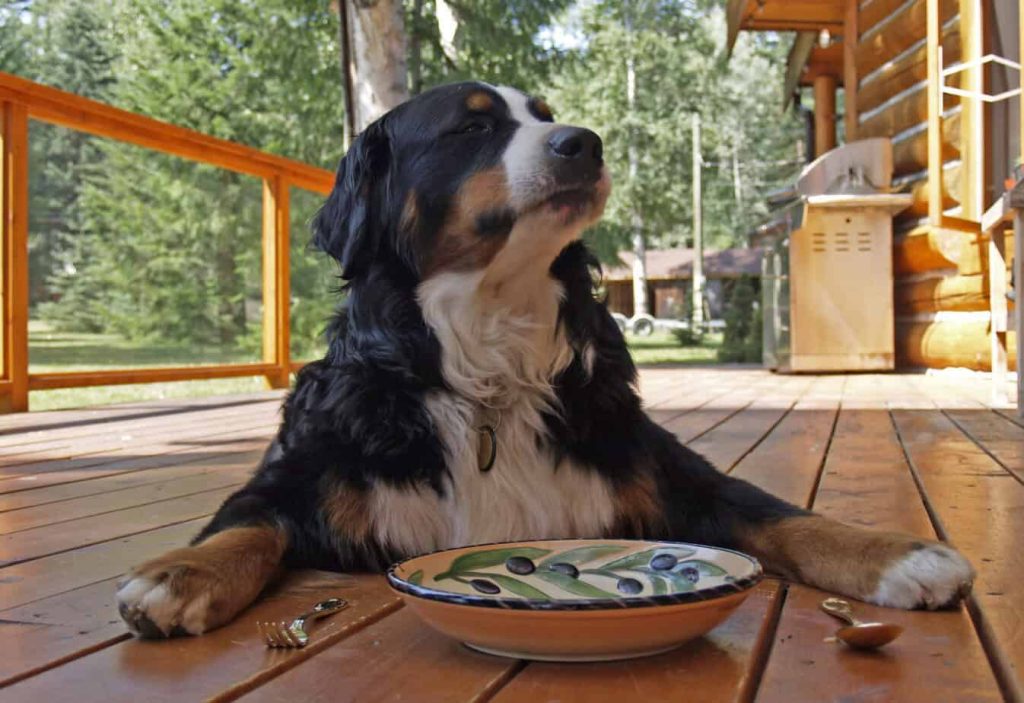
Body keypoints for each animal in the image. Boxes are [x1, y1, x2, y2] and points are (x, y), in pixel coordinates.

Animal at [116, 82, 974, 638]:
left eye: (548, 118)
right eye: (470, 130)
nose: (584, 143)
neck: (488, 364)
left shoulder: (665, 469)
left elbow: (783, 515)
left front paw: (896, 554)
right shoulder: (301, 471)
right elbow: (245, 525)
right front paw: (176, 574)